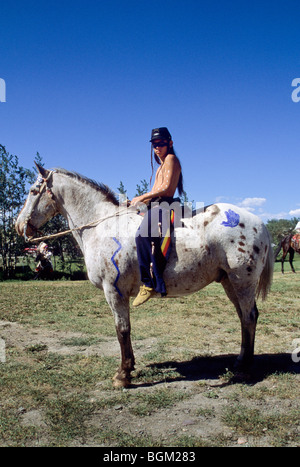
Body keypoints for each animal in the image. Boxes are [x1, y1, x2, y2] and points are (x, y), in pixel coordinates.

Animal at [15, 165, 274, 388]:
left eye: (33, 191)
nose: (18, 226)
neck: (102, 227)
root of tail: (259, 223)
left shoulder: (114, 291)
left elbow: (122, 330)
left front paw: (123, 374)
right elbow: (124, 331)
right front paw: (129, 368)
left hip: (243, 282)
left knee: (249, 317)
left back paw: (244, 369)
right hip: (230, 282)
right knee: (244, 317)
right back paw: (240, 362)